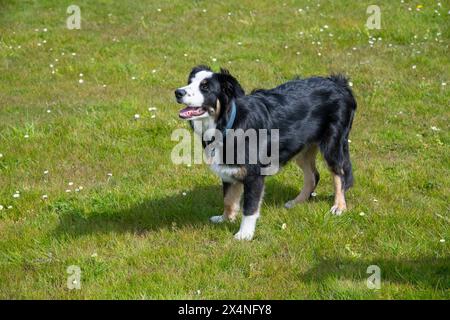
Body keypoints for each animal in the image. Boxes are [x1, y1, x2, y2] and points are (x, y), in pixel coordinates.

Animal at [174, 65, 356, 240]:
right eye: (190, 82)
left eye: (205, 87)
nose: (178, 92)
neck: (228, 124)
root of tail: (338, 83)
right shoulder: (229, 170)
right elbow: (228, 199)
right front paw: (225, 218)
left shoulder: (254, 176)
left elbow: (249, 208)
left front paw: (244, 234)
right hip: (301, 147)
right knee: (313, 175)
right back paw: (297, 202)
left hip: (332, 144)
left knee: (339, 174)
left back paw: (339, 206)